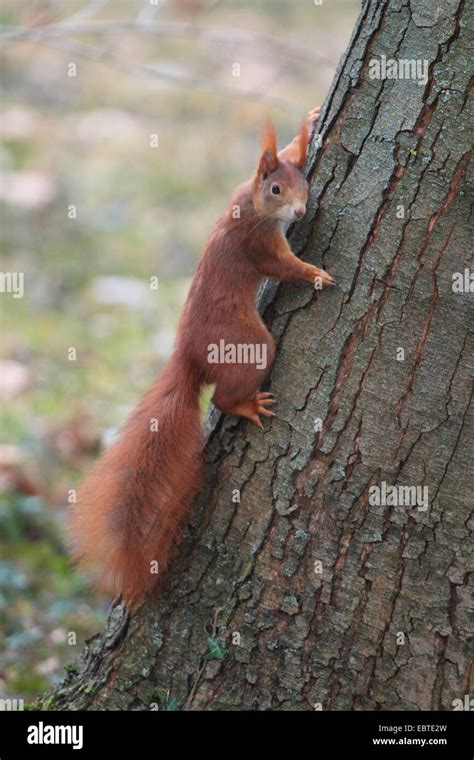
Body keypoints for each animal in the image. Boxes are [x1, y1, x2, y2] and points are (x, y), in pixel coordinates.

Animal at [72, 108, 336, 604]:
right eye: (276, 190)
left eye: (304, 184)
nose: (298, 212)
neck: (251, 203)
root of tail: (188, 357)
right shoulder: (258, 244)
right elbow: (284, 266)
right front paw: (315, 273)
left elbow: (289, 149)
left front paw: (308, 125)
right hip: (249, 346)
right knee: (220, 398)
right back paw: (246, 405)